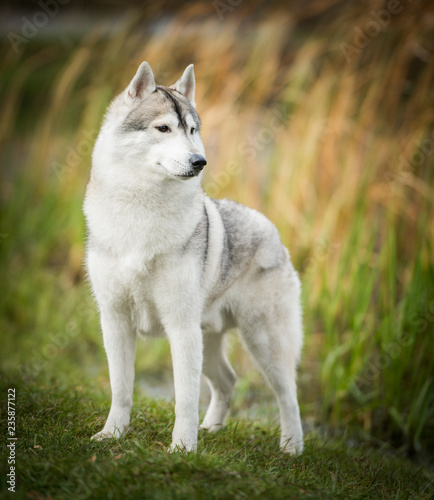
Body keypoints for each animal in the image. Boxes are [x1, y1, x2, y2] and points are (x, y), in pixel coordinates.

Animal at [83, 61, 304, 454]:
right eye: (163, 128)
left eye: (191, 130)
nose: (200, 161)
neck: (141, 211)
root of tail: (269, 227)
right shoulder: (115, 321)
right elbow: (121, 388)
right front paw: (112, 435)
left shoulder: (181, 327)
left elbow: (184, 398)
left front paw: (183, 450)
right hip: (211, 340)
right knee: (228, 380)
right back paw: (213, 429)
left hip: (264, 341)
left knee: (287, 395)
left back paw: (292, 448)